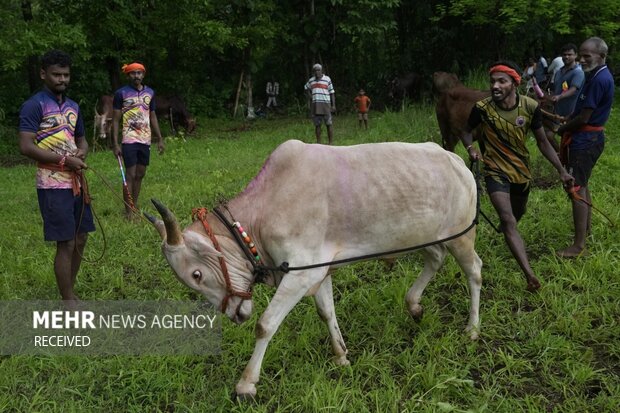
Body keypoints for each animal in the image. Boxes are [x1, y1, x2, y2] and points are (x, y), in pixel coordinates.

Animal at [148, 139, 482, 400]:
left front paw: (246, 385)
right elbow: (327, 313)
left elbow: (266, 325)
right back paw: (414, 305)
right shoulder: (319, 271)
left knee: (474, 272)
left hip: (462, 237)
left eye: (197, 275)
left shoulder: (301, 273)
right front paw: (341, 356)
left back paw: (472, 329)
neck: (262, 212)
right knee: (435, 258)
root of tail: (457, 161)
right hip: (429, 237)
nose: (236, 314)